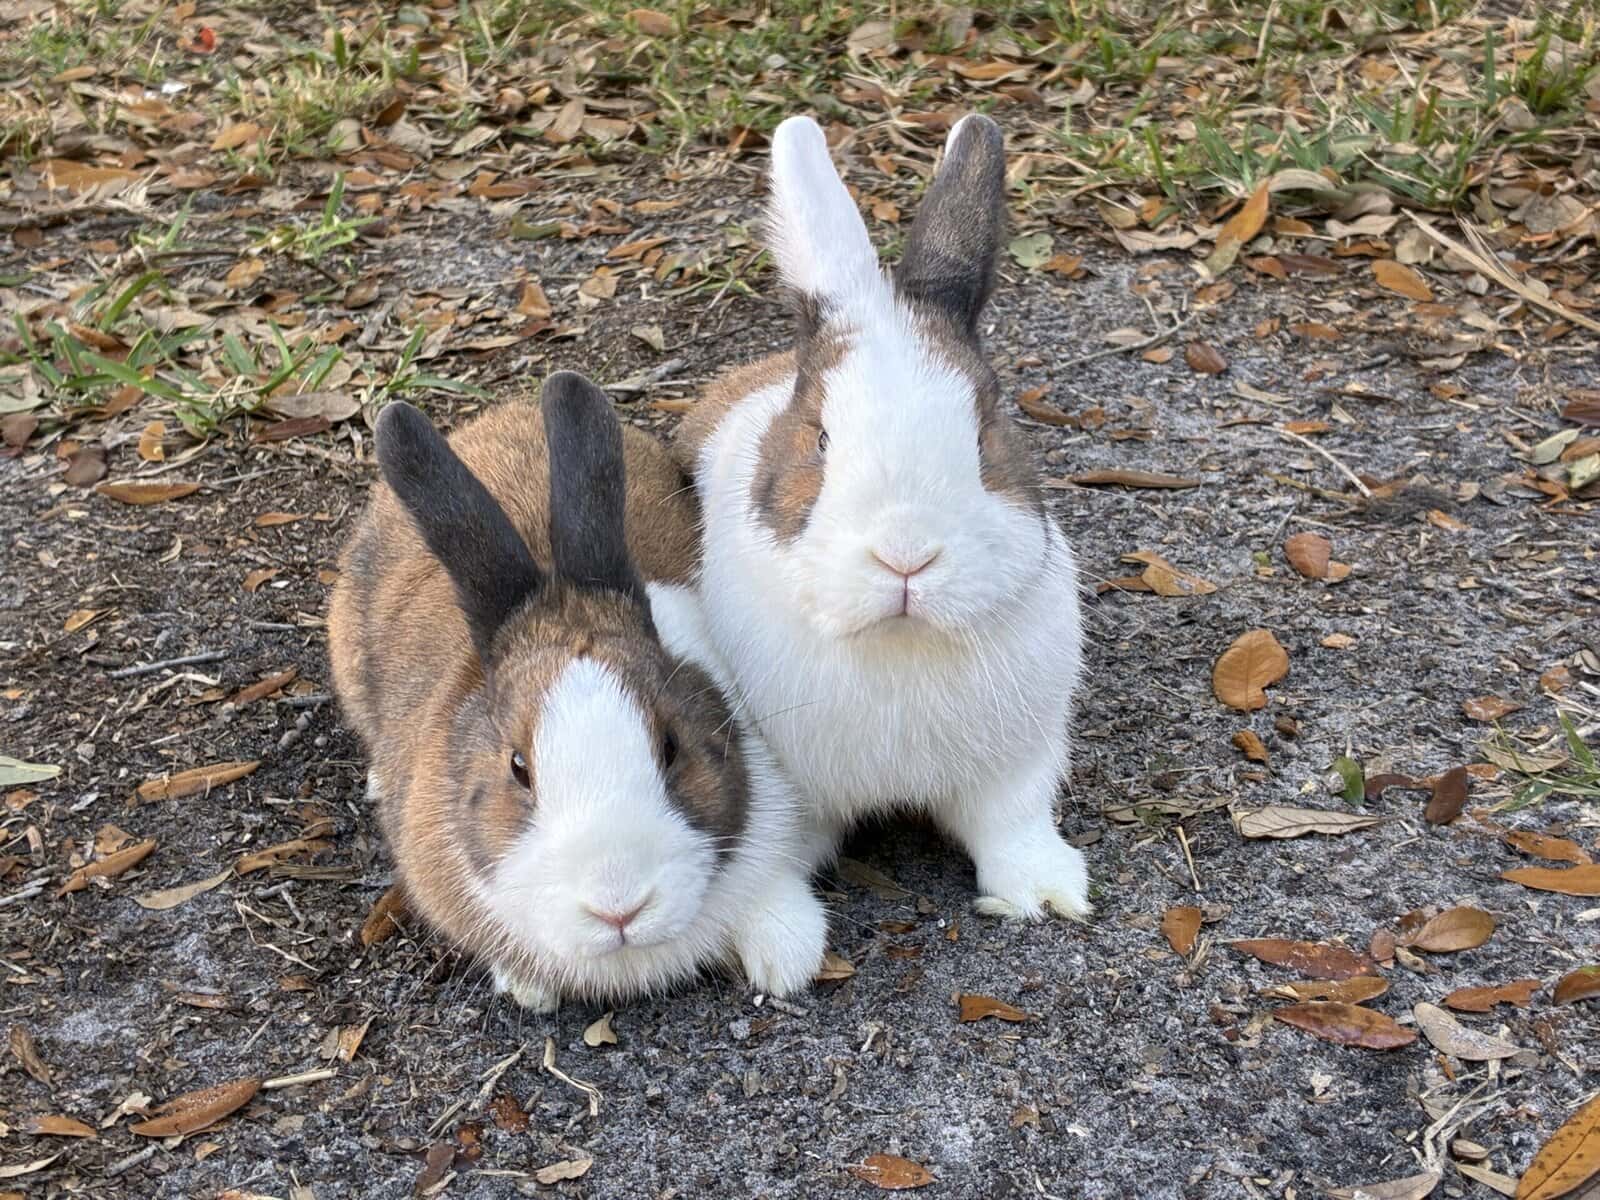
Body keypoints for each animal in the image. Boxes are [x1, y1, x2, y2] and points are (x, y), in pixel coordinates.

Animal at [327, 372, 829, 1011]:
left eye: (672, 746)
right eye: (518, 767)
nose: (619, 908)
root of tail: (499, 415)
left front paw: (787, 959)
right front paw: (529, 988)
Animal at [676, 114, 1092, 921]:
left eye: (985, 435)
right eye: (820, 438)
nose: (906, 558)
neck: (899, 644)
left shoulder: (1018, 762)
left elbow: (1013, 825)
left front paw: (1046, 894)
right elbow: (769, 866)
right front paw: (781, 933)